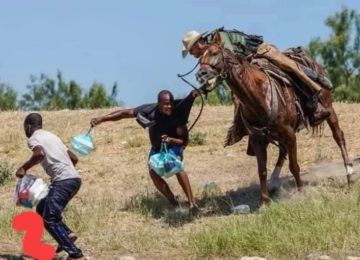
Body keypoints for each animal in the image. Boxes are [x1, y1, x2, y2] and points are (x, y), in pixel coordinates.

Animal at [197, 31, 354, 205]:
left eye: (214, 53)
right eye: (199, 58)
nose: (201, 75)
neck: (259, 96)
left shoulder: (290, 134)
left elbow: (294, 166)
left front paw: (301, 193)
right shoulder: (258, 139)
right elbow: (262, 170)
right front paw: (264, 202)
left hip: (329, 108)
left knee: (338, 136)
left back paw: (349, 173)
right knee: (282, 150)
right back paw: (273, 182)